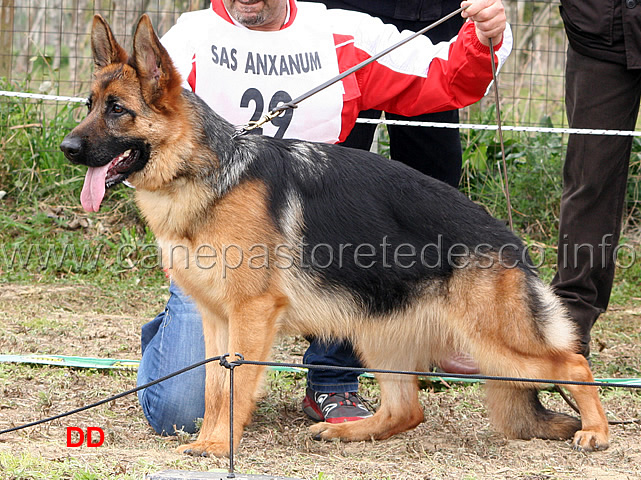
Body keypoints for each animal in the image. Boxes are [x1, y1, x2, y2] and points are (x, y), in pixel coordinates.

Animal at [61, 15, 608, 458]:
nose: (67, 148)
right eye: (89, 104)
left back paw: (597, 432)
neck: (207, 171)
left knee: (575, 364)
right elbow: (215, 389)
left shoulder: (250, 314)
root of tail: (509, 240)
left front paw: (219, 447)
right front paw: (208, 441)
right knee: (407, 411)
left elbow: (235, 389)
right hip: (379, 333)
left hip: (492, 343)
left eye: (117, 110)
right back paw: (348, 431)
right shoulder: (217, 320)